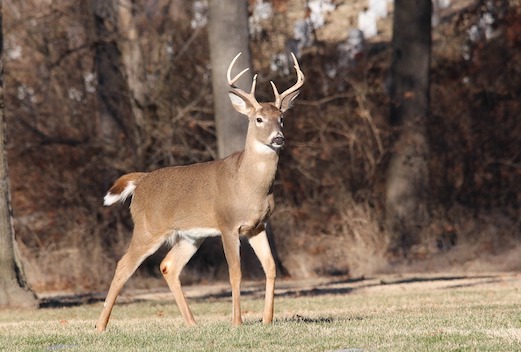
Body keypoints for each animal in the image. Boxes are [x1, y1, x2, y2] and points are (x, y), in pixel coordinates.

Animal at [95, 52, 302, 332]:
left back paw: (192, 323)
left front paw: (267, 319)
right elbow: (235, 273)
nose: (278, 138)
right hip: (148, 228)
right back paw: (100, 326)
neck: (250, 187)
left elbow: (270, 267)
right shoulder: (228, 225)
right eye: (258, 119)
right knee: (123, 266)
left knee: (168, 265)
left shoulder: (258, 226)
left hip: (190, 236)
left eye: (281, 118)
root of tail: (141, 181)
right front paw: (237, 321)